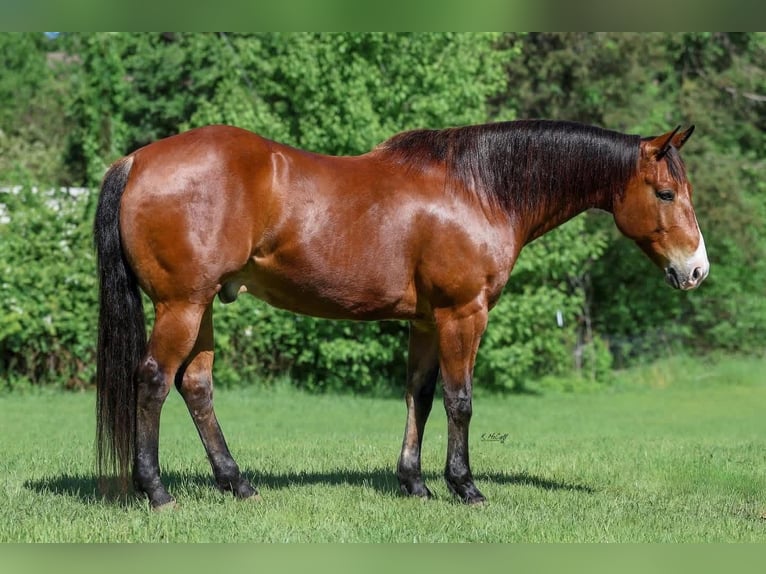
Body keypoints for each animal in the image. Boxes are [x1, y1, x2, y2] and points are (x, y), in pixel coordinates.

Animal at [94, 119, 708, 509]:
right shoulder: (463, 315)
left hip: (203, 307)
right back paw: (156, 491)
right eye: (666, 194)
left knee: (196, 386)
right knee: (153, 380)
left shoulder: (426, 321)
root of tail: (136, 160)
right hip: (181, 305)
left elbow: (421, 396)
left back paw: (236, 483)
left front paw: (414, 483)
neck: (477, 189)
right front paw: (465, 487)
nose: (697, 269)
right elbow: (460, 401)